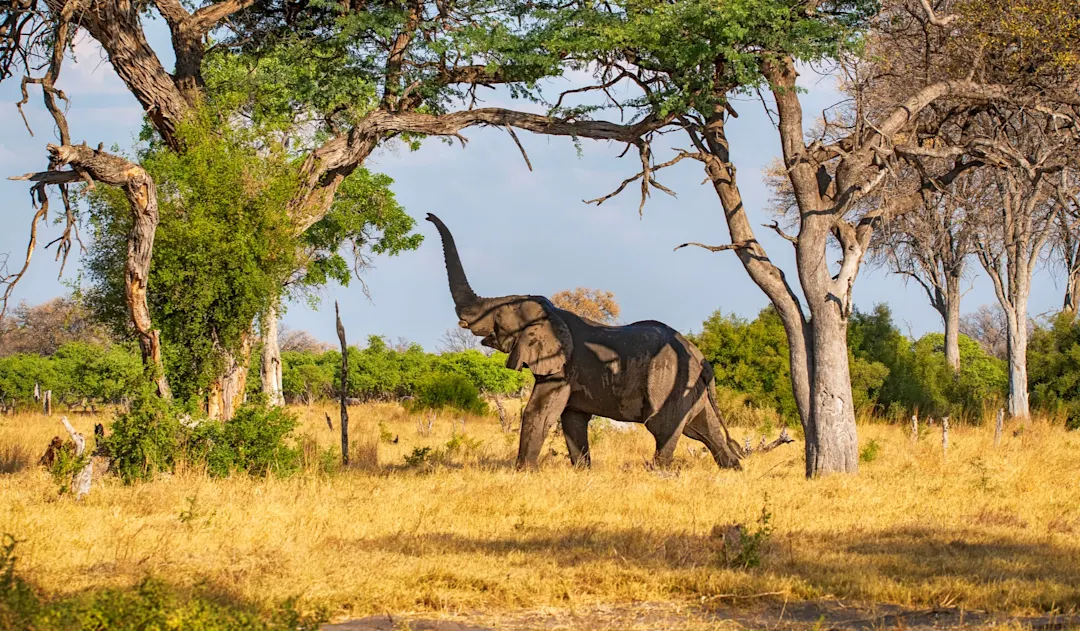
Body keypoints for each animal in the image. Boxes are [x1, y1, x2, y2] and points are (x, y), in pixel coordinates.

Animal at [426, 213, 744, 471]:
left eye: (499, 319)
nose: (428, 215)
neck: (554, 314)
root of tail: (703, 359)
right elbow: (573, 420)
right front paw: (581, 472)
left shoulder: (562, 368)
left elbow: (540, 411)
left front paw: (523, 473)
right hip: (690, 386)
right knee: (702, 429)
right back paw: (734, 470)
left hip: (669, 382)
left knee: (664, 427)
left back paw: (658, 474)